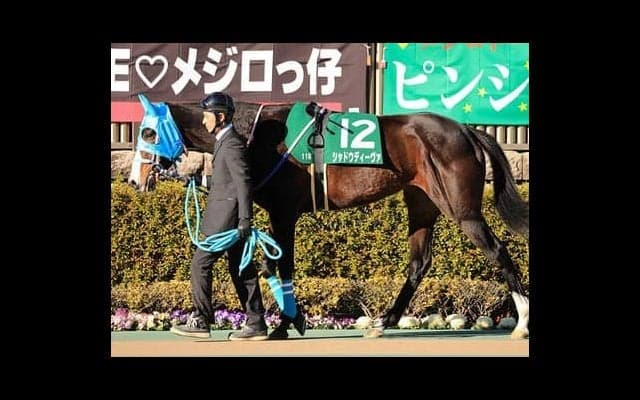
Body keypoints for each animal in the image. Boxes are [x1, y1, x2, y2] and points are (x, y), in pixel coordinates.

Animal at [128, 99, 530, 339]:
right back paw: (382, 323)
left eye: (148, 131)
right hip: (422, 202)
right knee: (419, 263)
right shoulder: (281, 214)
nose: (134, 179)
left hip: (461, 208)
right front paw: (285, 321)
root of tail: (466, 130)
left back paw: (523, 322)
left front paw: (286, 324)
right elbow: (274, 265)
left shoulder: (283, 212)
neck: (258, 134)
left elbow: (281, 266)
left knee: (498, 250)